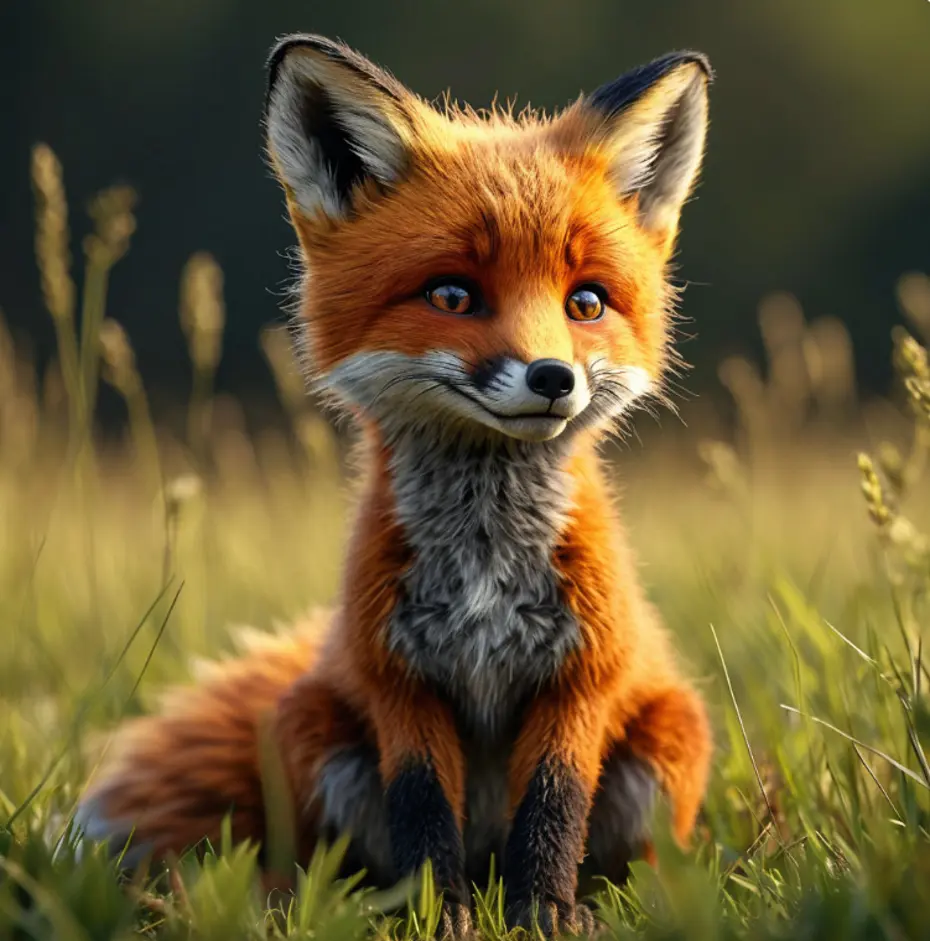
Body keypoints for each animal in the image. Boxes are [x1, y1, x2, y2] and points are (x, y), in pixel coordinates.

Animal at [77, 34, 714, 938]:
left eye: (586, 302)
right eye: (452, 294)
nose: (553, 378)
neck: (485, 566)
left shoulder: (581, 678)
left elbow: (554, 808)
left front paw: (544, 915)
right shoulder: (397, 681)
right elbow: (422, 812)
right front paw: (439, 916)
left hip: (667, 746)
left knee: (645, 859)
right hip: (317, 733)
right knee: (323, 860)